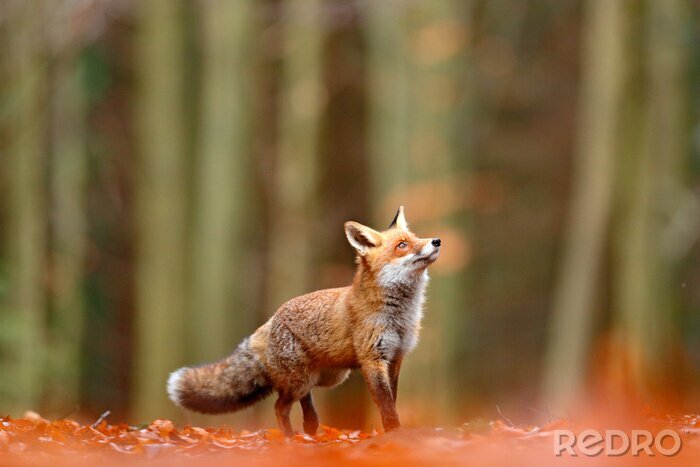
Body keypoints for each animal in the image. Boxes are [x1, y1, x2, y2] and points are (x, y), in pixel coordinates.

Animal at [167, 206, 441, 436]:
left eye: (415, 237)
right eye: (402, 245)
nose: (436, 241)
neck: (399, 316)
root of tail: (271, 319)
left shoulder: (395, 357)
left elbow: (392, 400)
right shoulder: (373, 359)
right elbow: (386, 406)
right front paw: (394, 434)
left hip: (326, 377)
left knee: (303, 402)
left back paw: (310, 428)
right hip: (301, 380)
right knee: (280, 406)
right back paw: (289, 439)